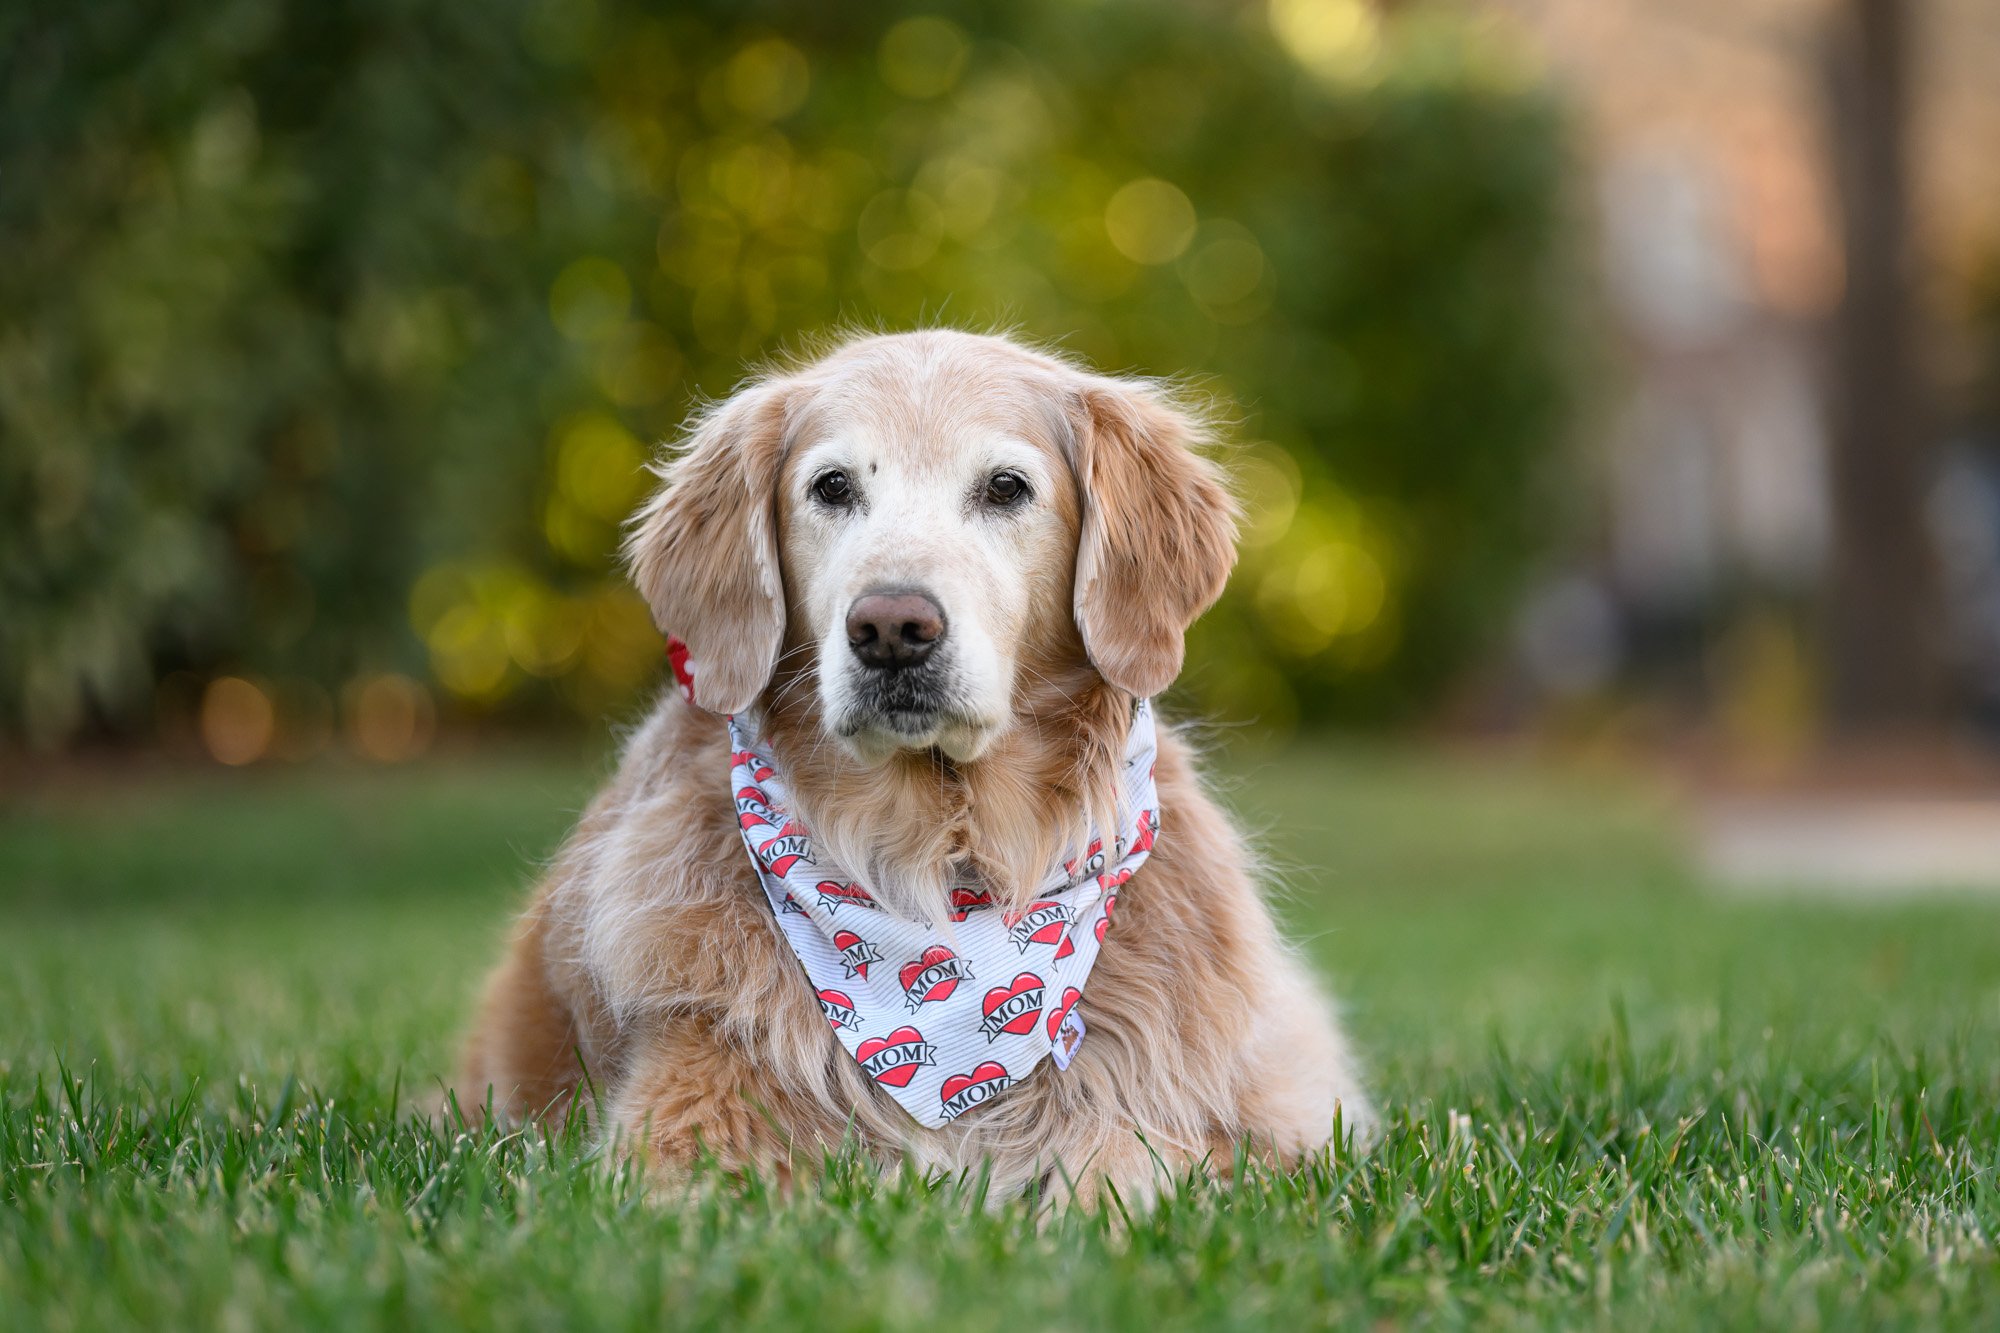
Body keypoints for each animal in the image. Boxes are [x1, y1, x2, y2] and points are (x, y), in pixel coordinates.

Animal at [458, 326, 1368, 1200]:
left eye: (1005, 487)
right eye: (832, 487)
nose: (891, 628)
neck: (944, 862)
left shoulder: (1224, 1125)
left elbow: (1129, 1168)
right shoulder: (681, 1117)